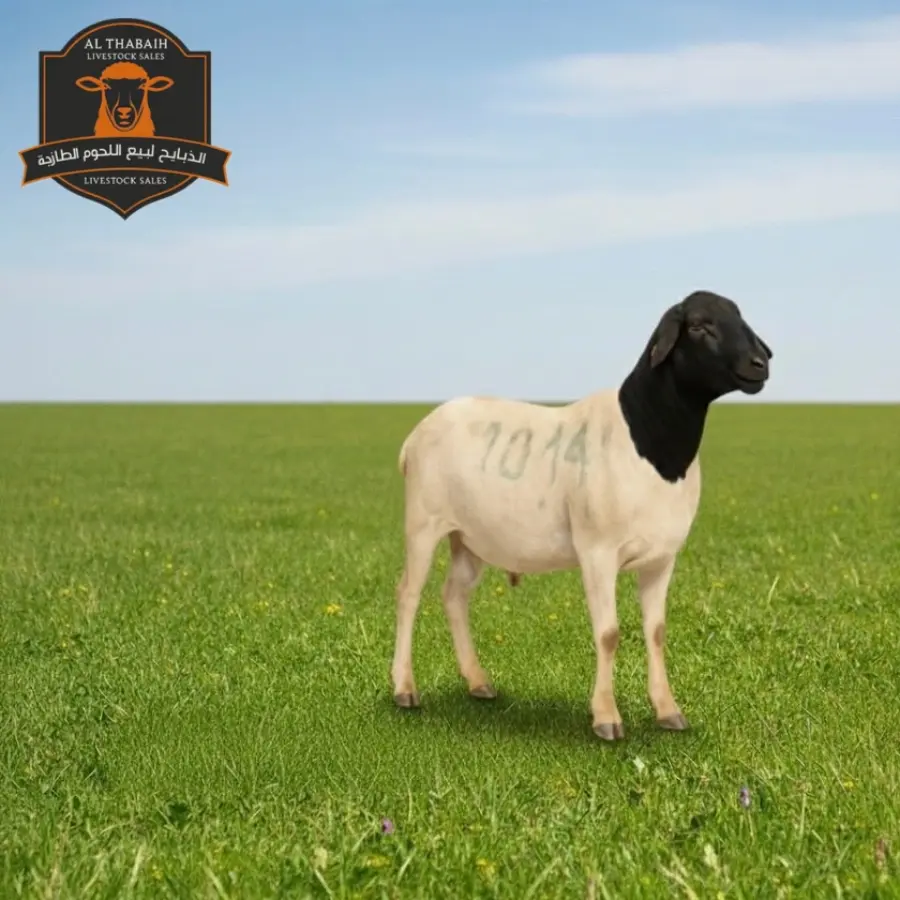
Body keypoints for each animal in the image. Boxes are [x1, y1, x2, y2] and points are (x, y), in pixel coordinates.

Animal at [391, 290, 773, 740]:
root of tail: (416, 434)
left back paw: (478, 682)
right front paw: (606, 718)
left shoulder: (662, 558)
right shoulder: (598, 552)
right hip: (423, 523)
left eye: (739, 316)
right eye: (699, 326)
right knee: (408, 595)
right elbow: (608, 634)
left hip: (468, 537)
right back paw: (404, 689)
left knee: (454, 595)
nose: (760, 364)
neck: (650, 441)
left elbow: (657, 632)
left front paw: (668, 711)